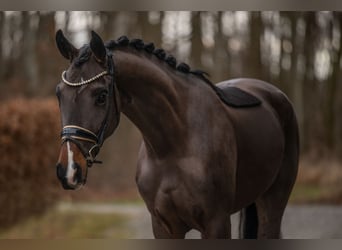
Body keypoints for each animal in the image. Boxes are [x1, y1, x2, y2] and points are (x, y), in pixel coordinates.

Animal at [54, 29, 298, 238]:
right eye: (59, 94)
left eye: (101, 96)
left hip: (273, 202)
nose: (69, 170)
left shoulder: (216, 223)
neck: (172, 147)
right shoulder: (163, 225)